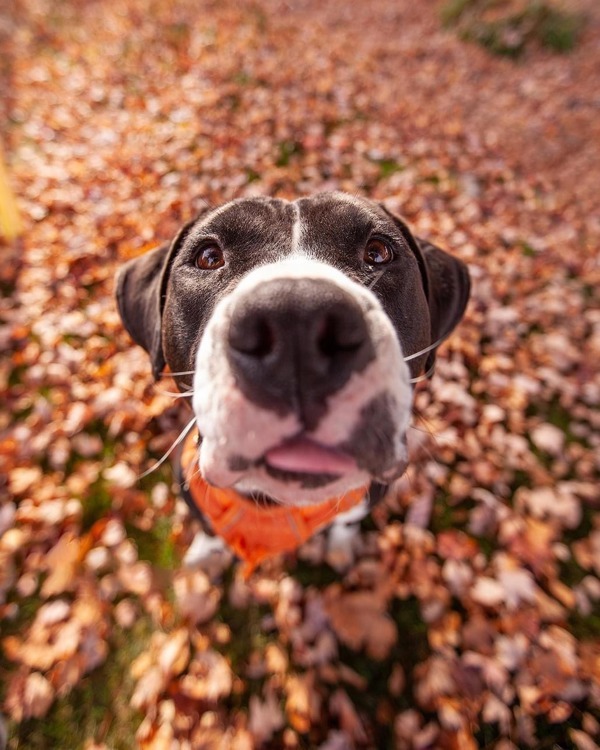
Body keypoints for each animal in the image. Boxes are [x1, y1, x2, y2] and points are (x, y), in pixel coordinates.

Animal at [117, 197, 472, 572]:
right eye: (209, 257)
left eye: (378, 252)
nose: (297, 316)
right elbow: (210, 528)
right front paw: (205, 551)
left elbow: (347, 520)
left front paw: (340, 547)